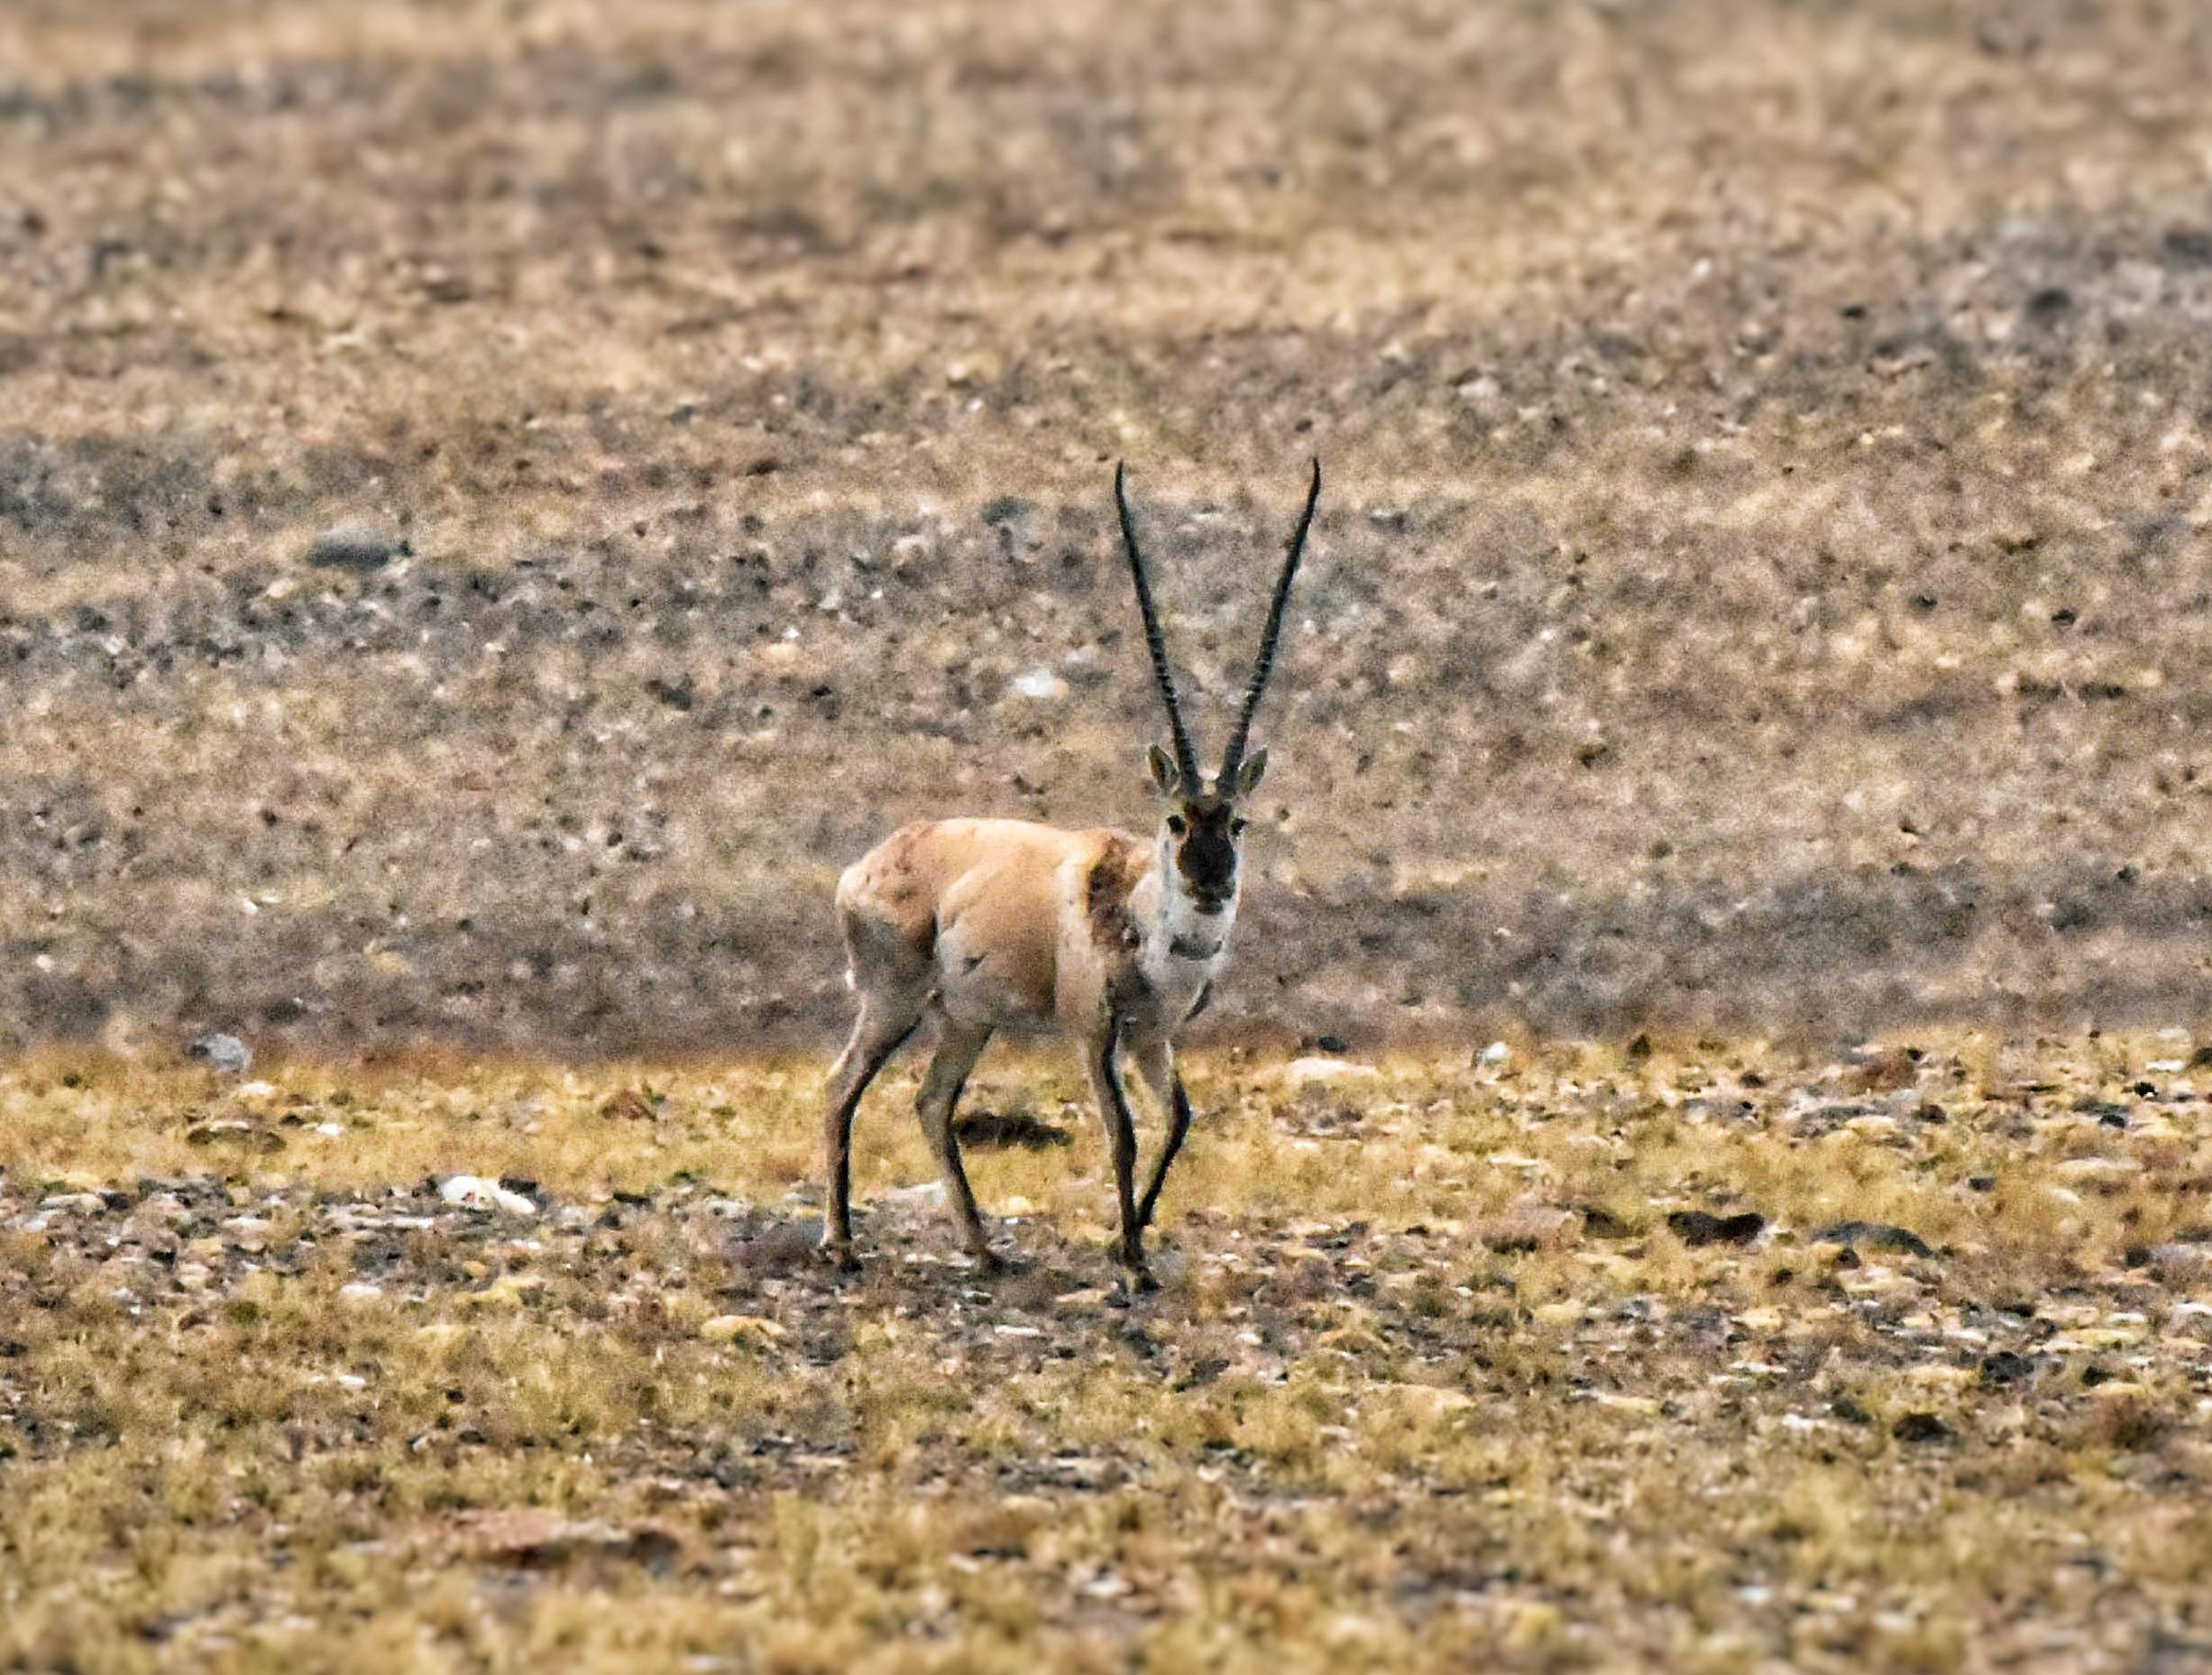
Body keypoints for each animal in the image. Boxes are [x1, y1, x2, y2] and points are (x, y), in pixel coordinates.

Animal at [822, 457, 1317, 1292]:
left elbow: (1177, 1120)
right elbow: (1121, 1133)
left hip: (967, 1019)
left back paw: (983, 1248)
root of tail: (868, 865)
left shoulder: (1153, 1037)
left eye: (1237, 822)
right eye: (1175, 819)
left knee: (929, 1102)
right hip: (894, 1000)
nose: (1211, 884)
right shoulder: (1093, 1033)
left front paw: (1132, 1237)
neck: (1138, 910)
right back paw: (840, 1243)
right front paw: (1134, 1265)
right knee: (840, 1088)